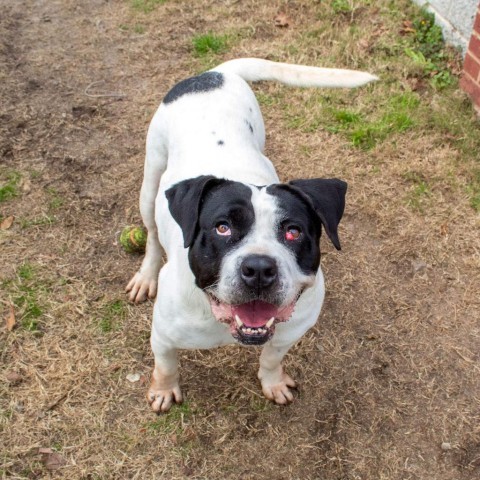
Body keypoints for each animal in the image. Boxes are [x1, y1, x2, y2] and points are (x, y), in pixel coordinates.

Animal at [125, 59, 376, 412]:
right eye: (222, 227)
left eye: (293, 232)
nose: (258, 269)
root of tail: (214, 74)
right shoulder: (163, 335)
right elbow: (166, 365)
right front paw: (163, 390)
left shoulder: (290, 331)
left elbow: (272, 358)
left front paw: (273, 382)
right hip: (150, 181)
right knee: (150, 233)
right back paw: (146, 276)